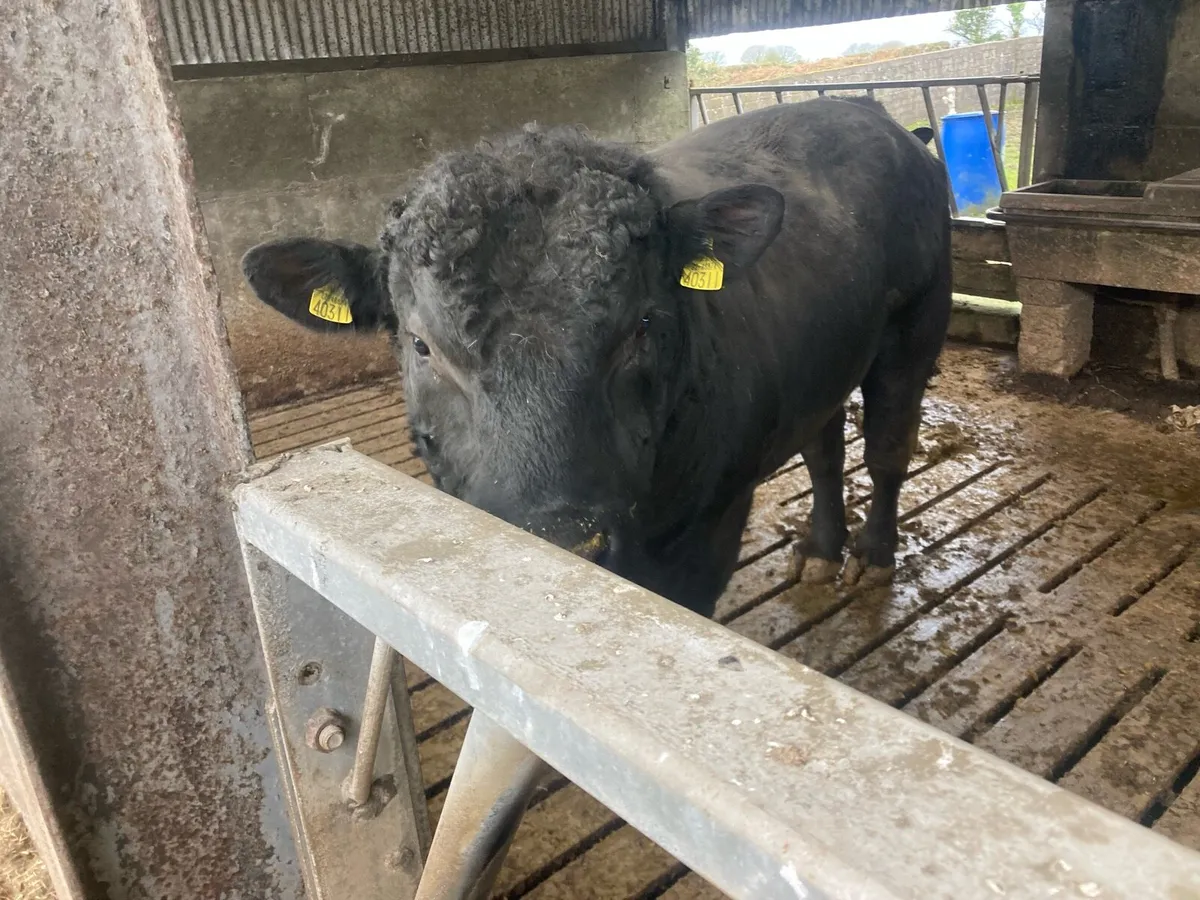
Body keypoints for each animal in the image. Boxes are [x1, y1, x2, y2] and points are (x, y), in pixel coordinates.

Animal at [241, 97, 952, 619]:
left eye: (644, 323)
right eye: (422, 344)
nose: (557, 543)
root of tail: (872, 112)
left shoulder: (711, 531)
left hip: (916, 326)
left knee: (886, 449)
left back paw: (873, 556)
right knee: (824, 446)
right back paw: (823, 549)